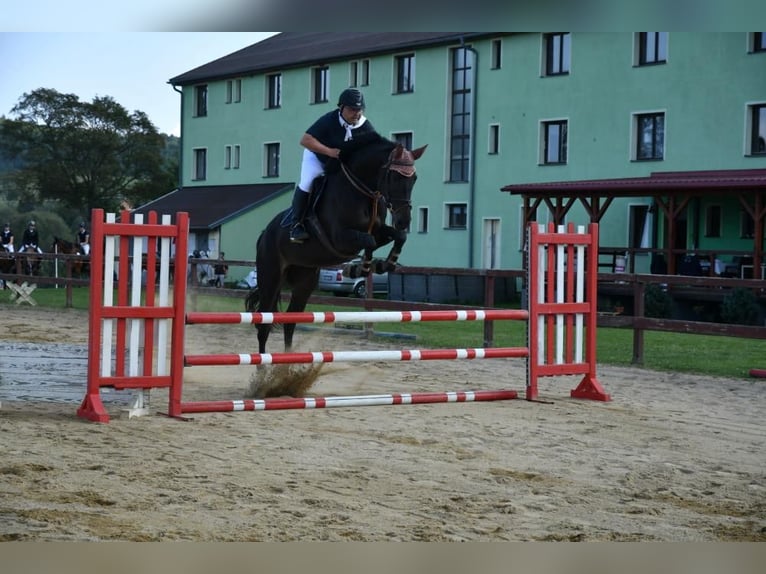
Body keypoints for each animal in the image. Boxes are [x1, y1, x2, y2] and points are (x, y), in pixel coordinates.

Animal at [246, 132, 426, 354]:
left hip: (305, 280)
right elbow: (368, 240)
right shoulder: (340, 238)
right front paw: (360, 268)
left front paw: (384, 264)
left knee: (290, 321)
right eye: (394, 177)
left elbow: (397, 237)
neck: (363, 191)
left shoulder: (378, 230)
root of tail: (264, 234)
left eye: (414, 179)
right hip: (270, 277)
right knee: (264, 323)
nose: (404, 221)